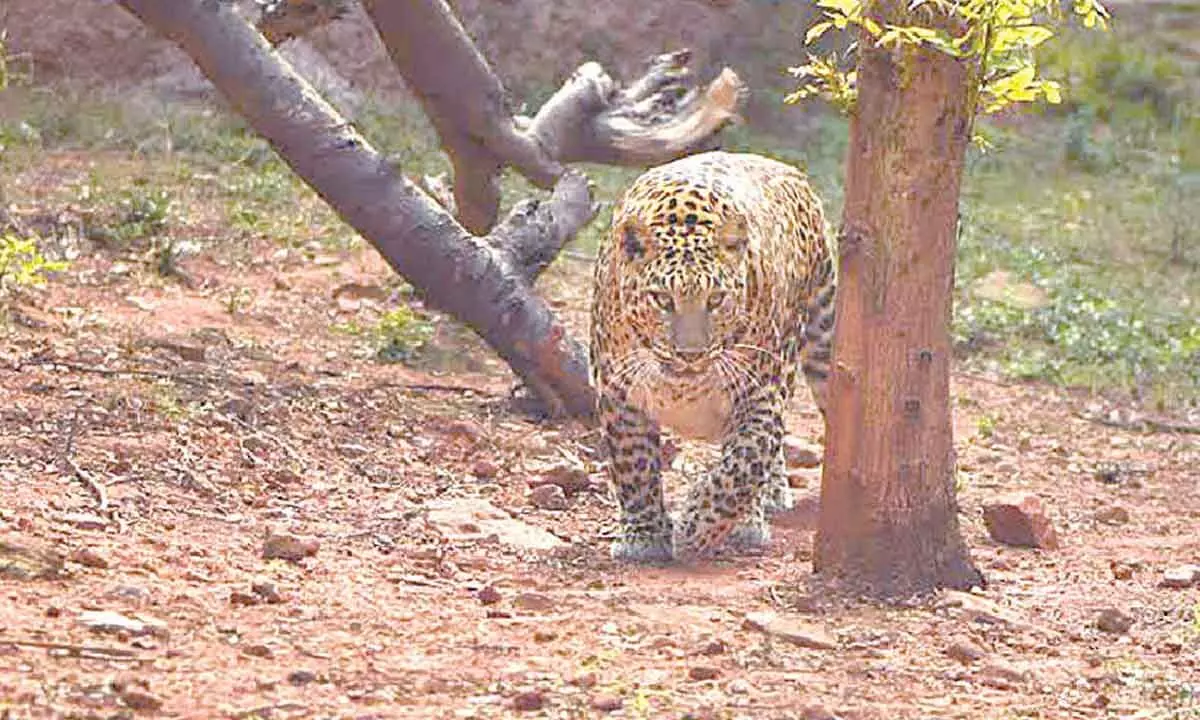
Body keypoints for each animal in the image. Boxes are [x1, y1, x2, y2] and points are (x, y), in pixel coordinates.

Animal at [590, 151, 835, 562]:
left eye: (716, 300)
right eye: (662, 300)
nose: (690, 354)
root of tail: (787, 169)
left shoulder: (759, 392)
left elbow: (744, 463)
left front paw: (696, 526)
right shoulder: (617, 390)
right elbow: (633, 465)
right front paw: (645, 535)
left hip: (822, 339)